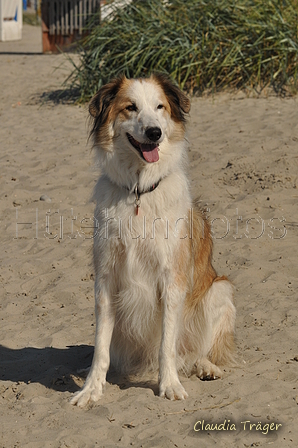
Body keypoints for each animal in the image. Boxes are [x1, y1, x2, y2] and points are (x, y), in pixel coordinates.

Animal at [70, 72, 235, 406]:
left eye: (160, 107)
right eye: (130, 107)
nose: (154, 132)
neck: (139, 191)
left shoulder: (172, 279)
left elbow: (166, 344)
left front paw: (169, 384)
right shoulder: (106, 279)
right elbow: (100, 348)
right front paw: (91, 388)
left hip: (219, 290)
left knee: (192, 351)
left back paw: (205, 366)